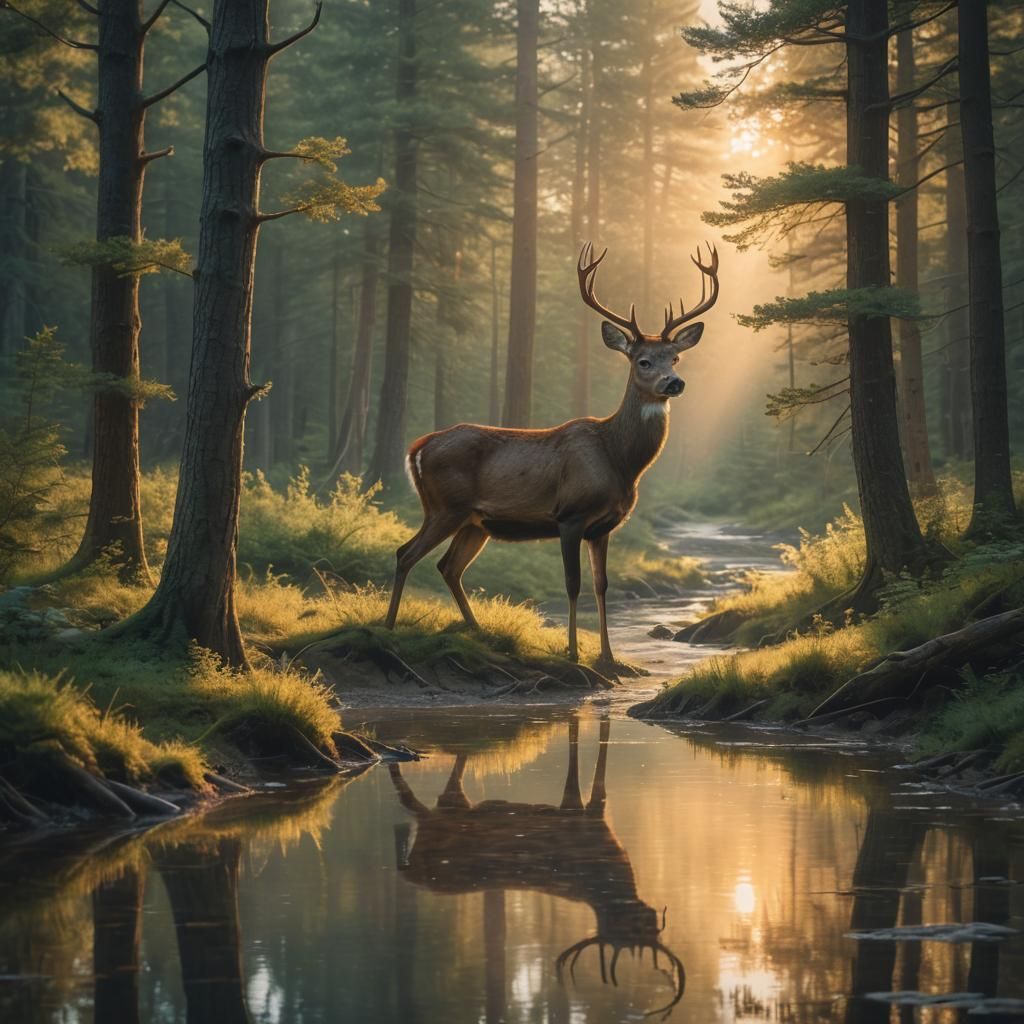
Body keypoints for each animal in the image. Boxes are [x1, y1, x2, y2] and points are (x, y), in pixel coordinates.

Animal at [384, 242, 720, 669]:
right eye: (643, 360)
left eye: (675, 358)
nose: (674, 382)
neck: (620, 461)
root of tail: (417, 448)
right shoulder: (570, 515)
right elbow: (573, 585)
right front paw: (573, 651)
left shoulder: (604, 526)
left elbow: (601, 586)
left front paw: (609, 656)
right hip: (445, 506)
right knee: (405, 553)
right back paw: (388, 628)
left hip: (475, 521)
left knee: (448, 566)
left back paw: (478, 631)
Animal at [388, 717, 686, 1019]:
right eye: (633, 926)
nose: (651, 919)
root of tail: (416, 873)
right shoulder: (582, 816)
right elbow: (586, 781)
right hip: (443, 819)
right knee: (415, 801)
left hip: (449, 811)